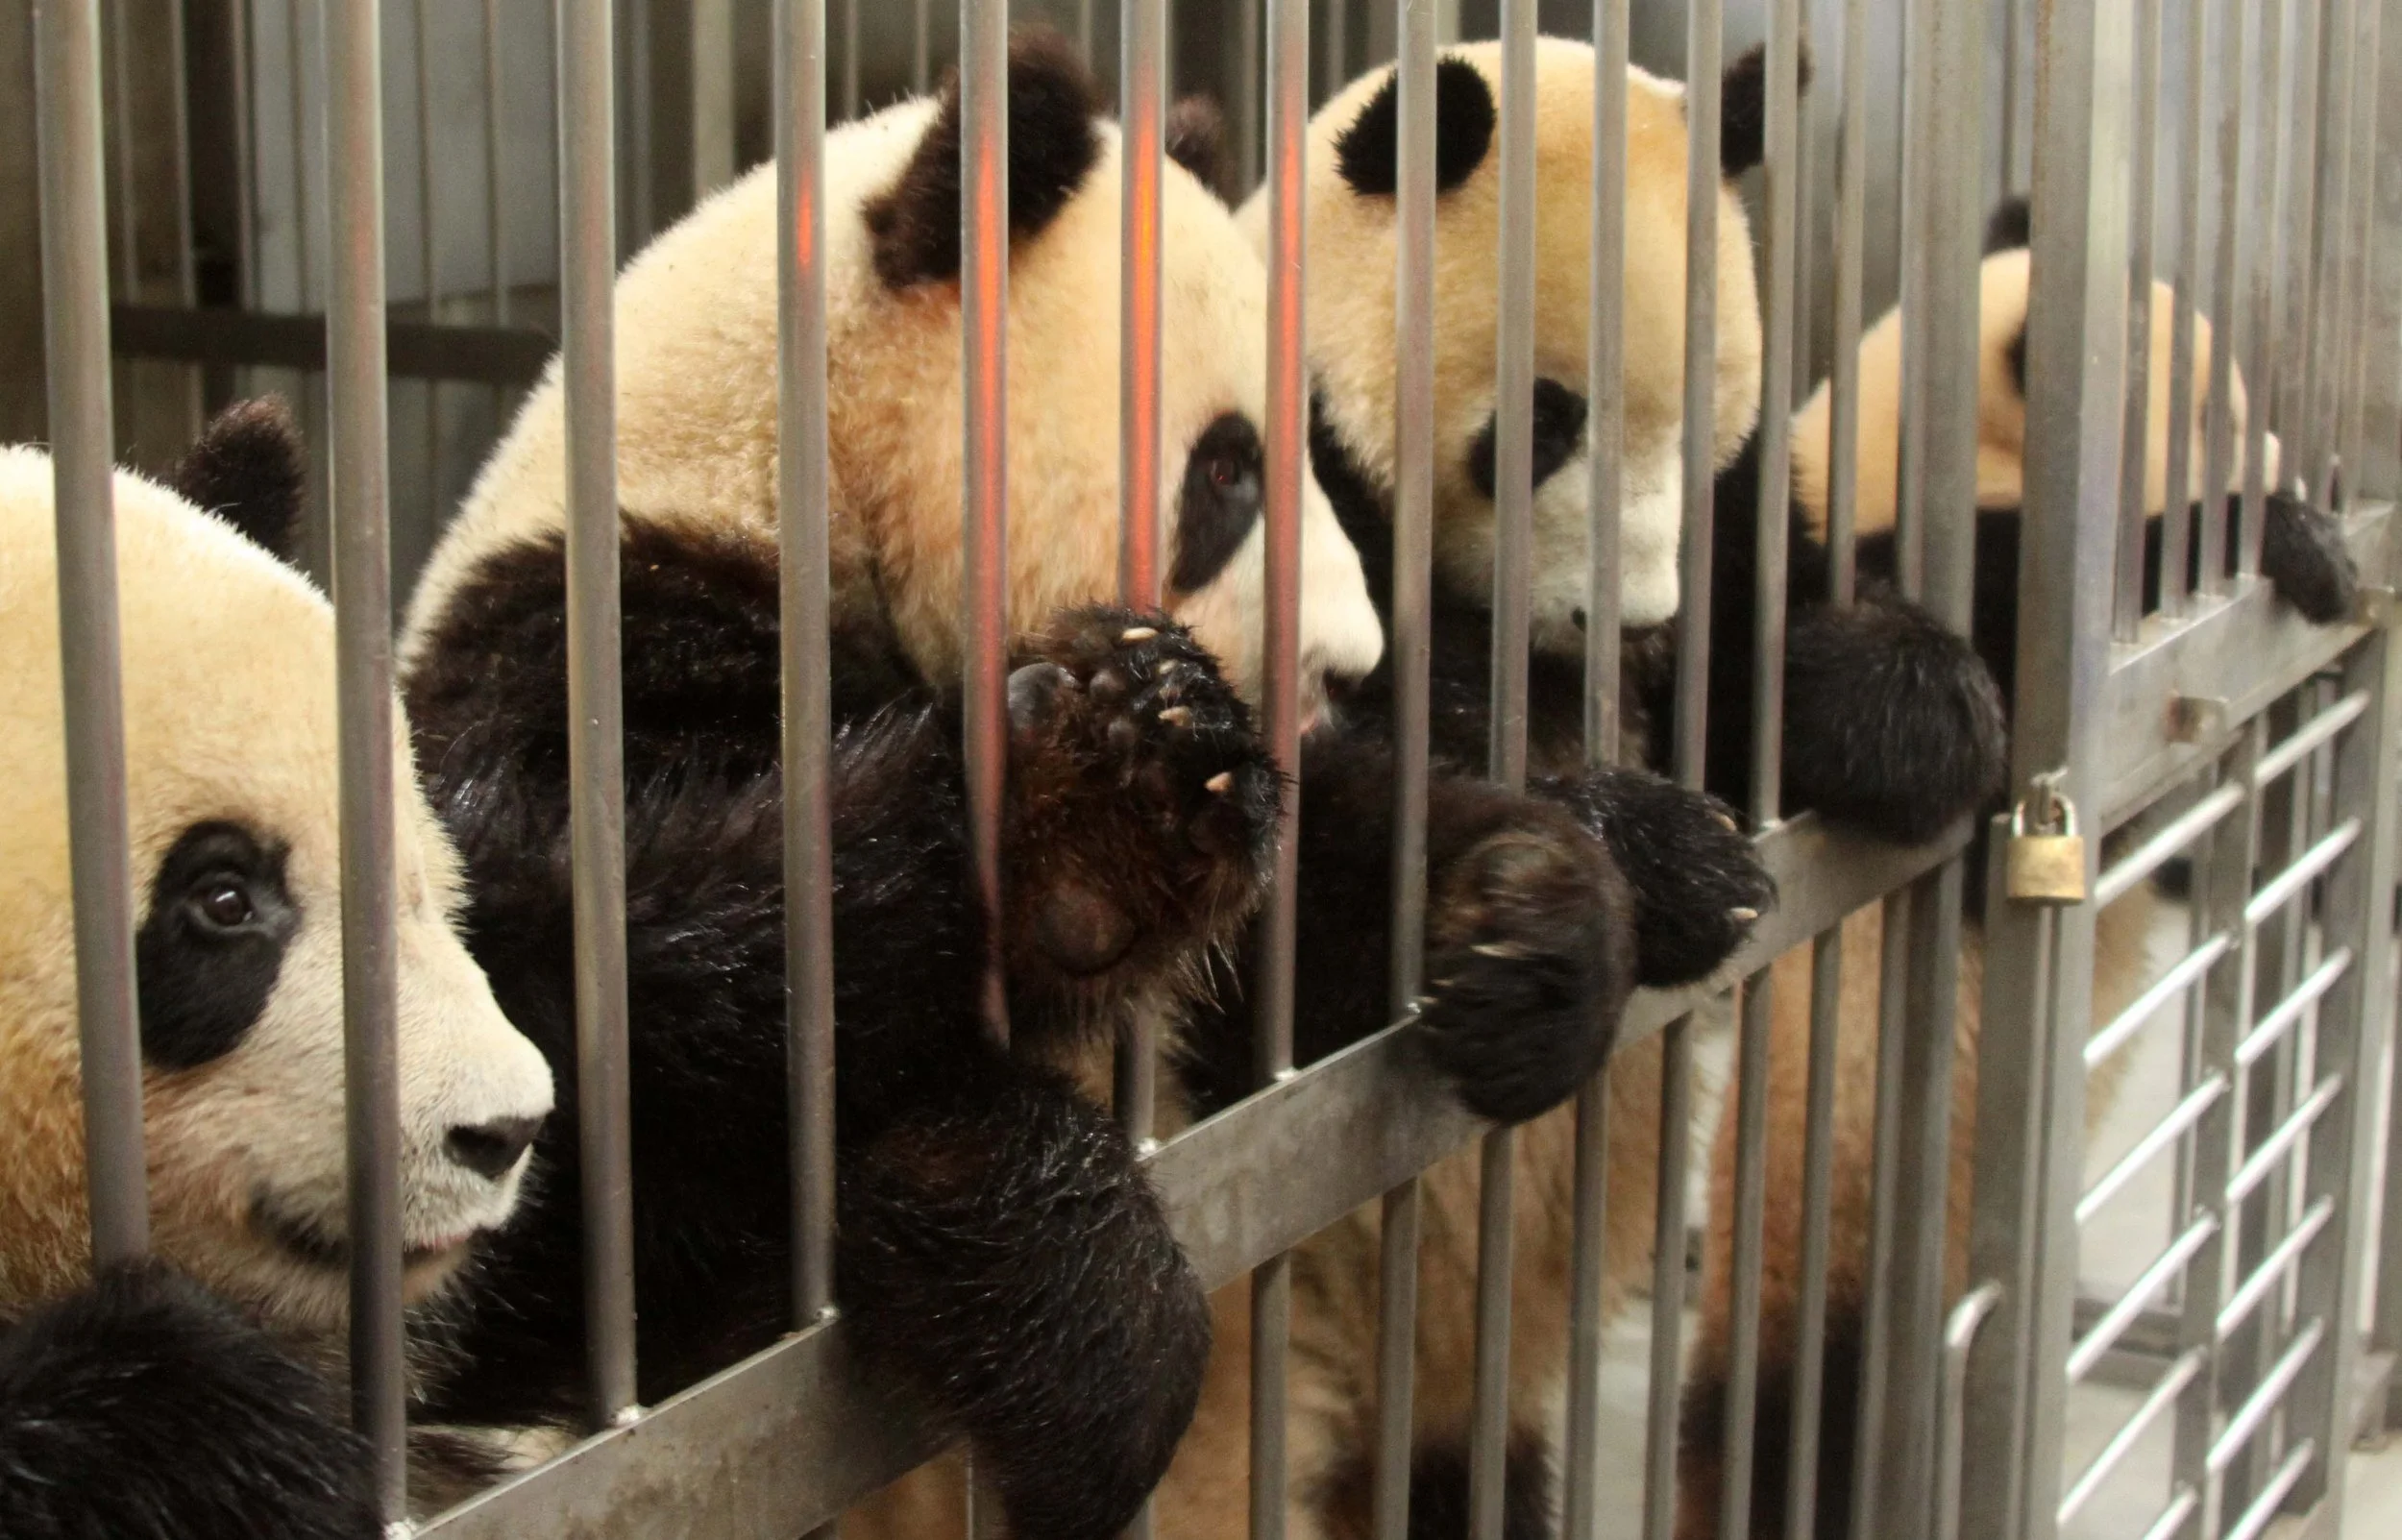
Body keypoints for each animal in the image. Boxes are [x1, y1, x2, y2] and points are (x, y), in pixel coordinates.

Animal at [397, 28, 1768, 1540]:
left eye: (1313, 447)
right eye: (1227, 470)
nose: (1348, 654)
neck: (780, 481)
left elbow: (1316, 903)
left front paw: (1540, 911)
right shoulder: (568, 662)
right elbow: (563, 1134)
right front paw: (1083, 843)